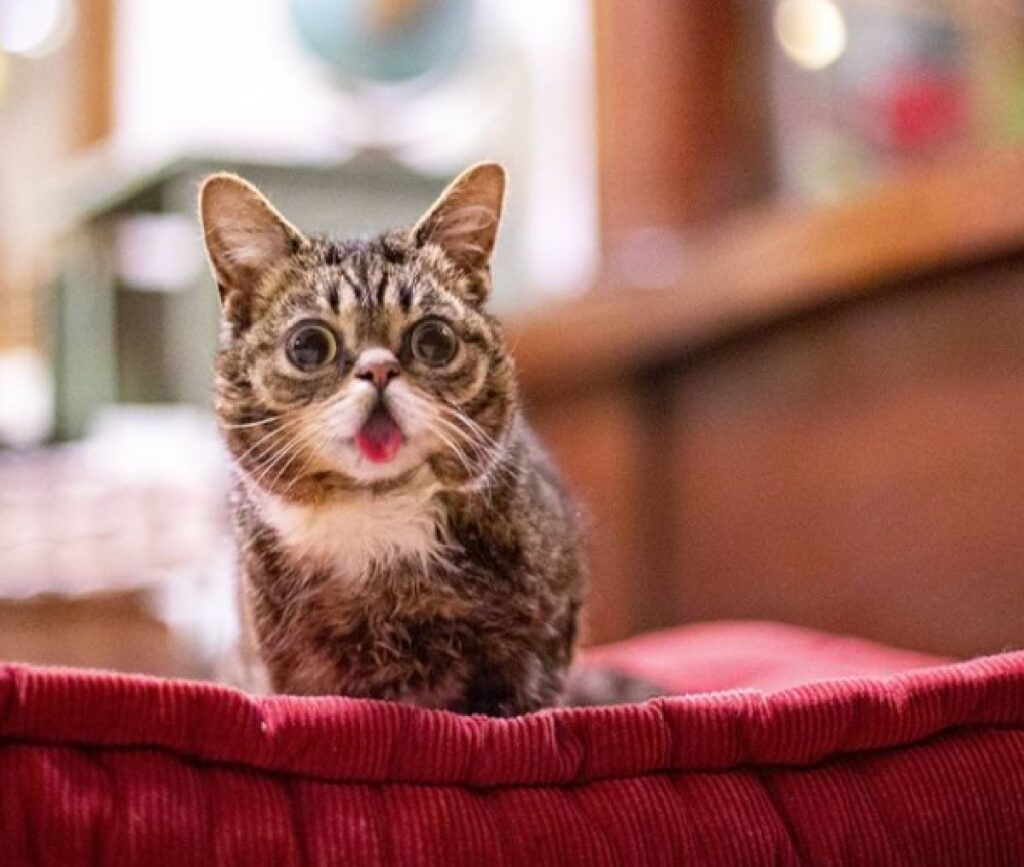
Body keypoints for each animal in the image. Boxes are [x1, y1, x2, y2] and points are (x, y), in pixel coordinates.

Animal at [199, 164, 589, 720]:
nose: (379, 368)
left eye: (435, 340)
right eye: (308, 345)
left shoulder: (538, 649)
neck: (378, 510)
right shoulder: (289, 669)